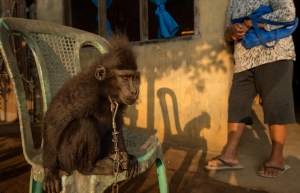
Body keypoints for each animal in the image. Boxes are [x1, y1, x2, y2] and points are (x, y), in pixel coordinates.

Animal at [42, 33, 139, 193]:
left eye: (135, 78)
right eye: (125, 78)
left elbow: (117, 122)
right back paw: (89, 167)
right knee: (84, 123)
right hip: (64, 158)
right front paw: (49, 172)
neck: (105, 93)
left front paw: (129, 158)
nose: (134, 91)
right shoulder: (85, 91)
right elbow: (53, 120)